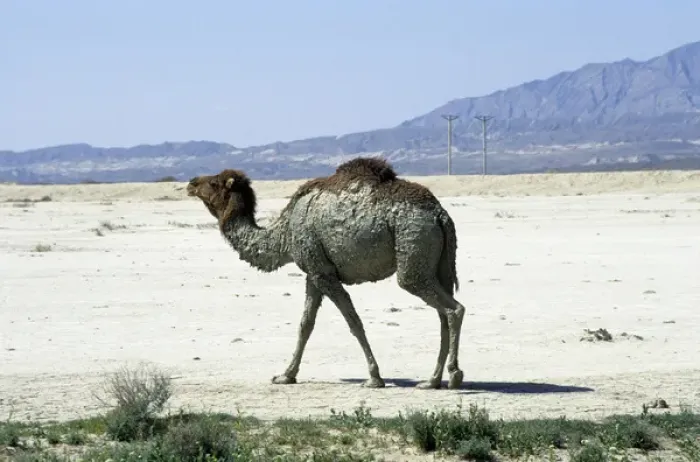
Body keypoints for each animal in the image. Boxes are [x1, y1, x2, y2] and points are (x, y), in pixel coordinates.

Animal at [186, 157, 467, 389]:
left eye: (213, 182)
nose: (191, 183)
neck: (284, 234)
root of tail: (440, 215)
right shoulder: (313, 272)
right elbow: (305, 325)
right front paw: (285, 375)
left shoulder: (323, 273)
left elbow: (353, 321)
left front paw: (374, 378)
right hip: (436, 263)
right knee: (443, 313)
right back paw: (432, 380)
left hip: (413, 246)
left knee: (452, 308)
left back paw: (453, 376)